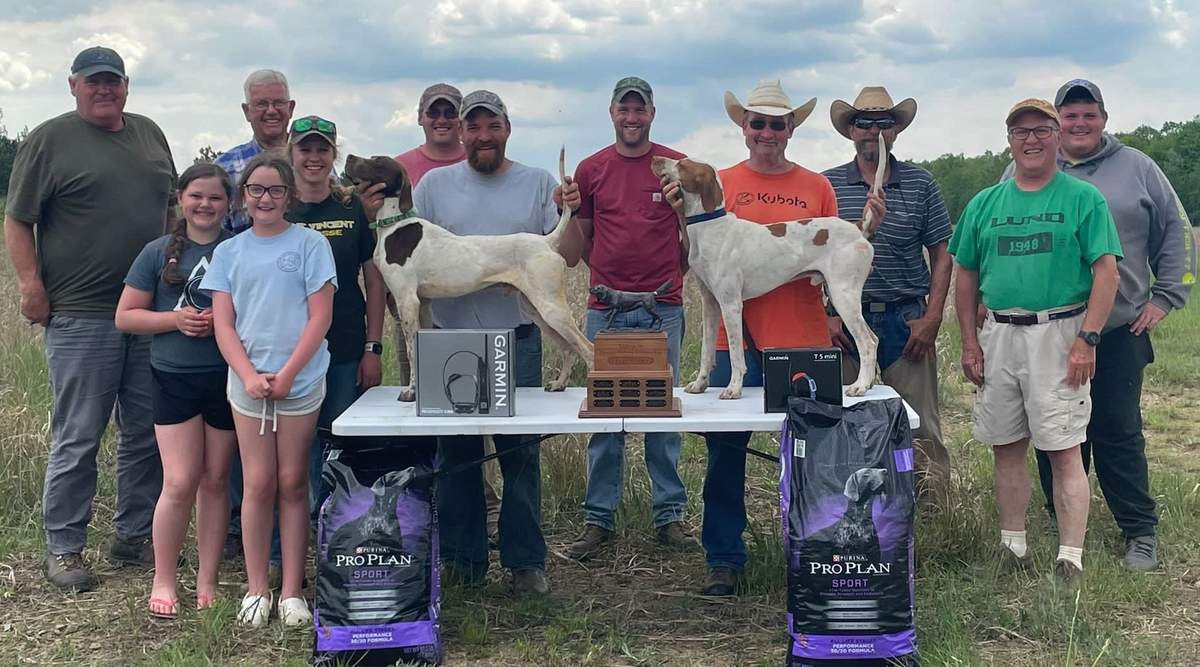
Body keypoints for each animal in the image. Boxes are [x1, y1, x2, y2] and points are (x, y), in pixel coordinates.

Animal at [345, 151, 592, 400]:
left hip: (551, 309)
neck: (394, 226)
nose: (349, 157)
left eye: (378, 161)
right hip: (536, 309)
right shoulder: (423, 303)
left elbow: (411, 350)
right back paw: (559, 384)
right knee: (569, 349)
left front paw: (411, 391)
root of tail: (547, 241)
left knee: (587, 349)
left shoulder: (407, 301)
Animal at [648, 134, 892, 395]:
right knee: (874, 339)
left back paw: (860, 385)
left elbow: (735, 354)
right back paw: (867, 383)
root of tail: (857, 227)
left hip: (843, 295)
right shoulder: (711, 304)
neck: (709, 226)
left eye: (682, 165)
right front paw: (700, 383)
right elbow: (706, 352)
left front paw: (733, 388)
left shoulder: (731, 304)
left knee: (867, 342)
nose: (655, 158)